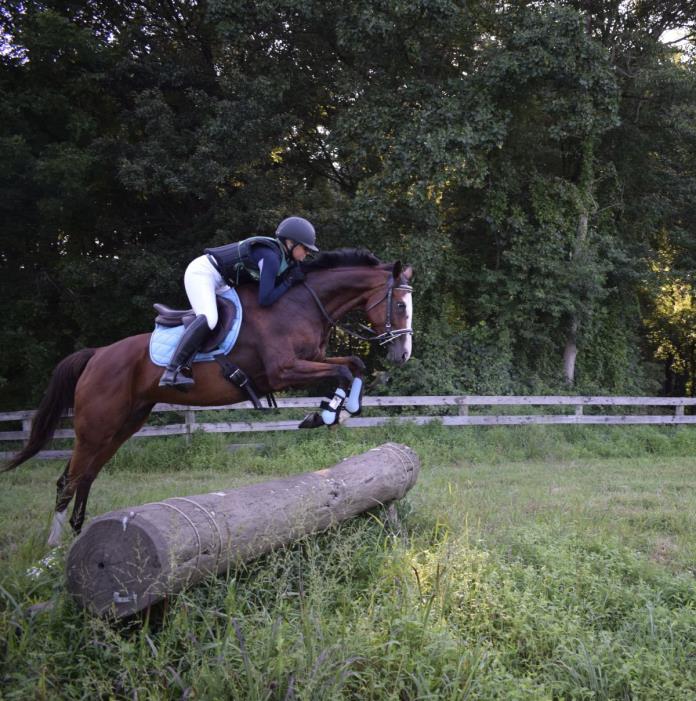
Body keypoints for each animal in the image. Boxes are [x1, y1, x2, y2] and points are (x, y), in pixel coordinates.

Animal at [1, 250, 414, 548]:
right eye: (399, 306)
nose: (403, 354)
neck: (301, 303)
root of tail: (98, 354)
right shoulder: (283, 371)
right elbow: (345, 371)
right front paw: (328, 415)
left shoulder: (312, 359)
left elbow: (354, 364)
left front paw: (339, 412)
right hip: (96, 427)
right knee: (67, 481)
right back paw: (53, 548)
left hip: (123, 426)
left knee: (86, 476)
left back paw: (76, 535)